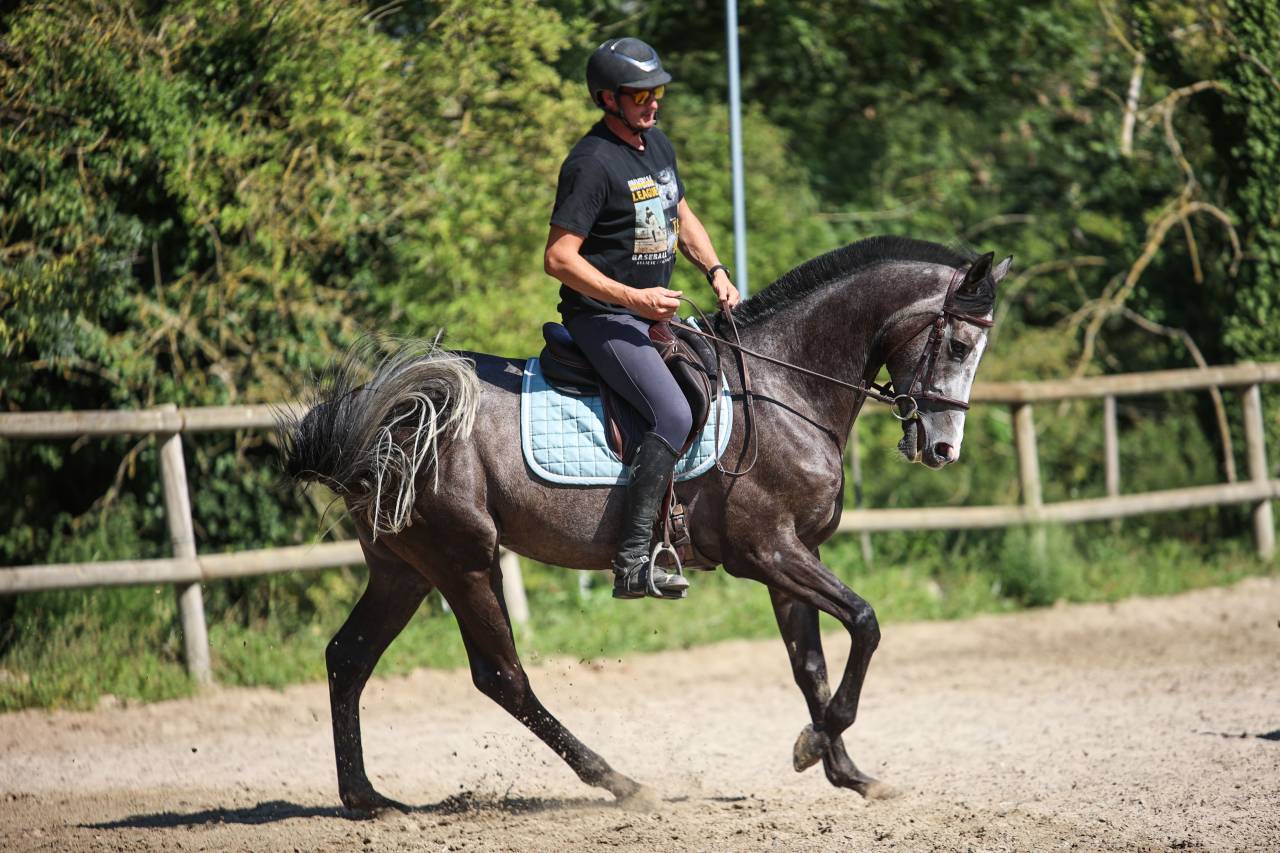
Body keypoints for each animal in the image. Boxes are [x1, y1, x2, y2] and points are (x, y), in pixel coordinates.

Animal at [280, 235, 1009, 812]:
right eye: (960, 344)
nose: (942, 449)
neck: (785, 387)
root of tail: (389, 418)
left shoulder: (790, 558)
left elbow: (810, 664)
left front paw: (847, 770)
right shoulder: (768, 551)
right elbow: (865, 622)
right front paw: (813, 746)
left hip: (405, 567)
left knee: (348, 657)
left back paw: (366, 798)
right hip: (464, 560)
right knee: (502, 676)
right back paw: (621, 783)